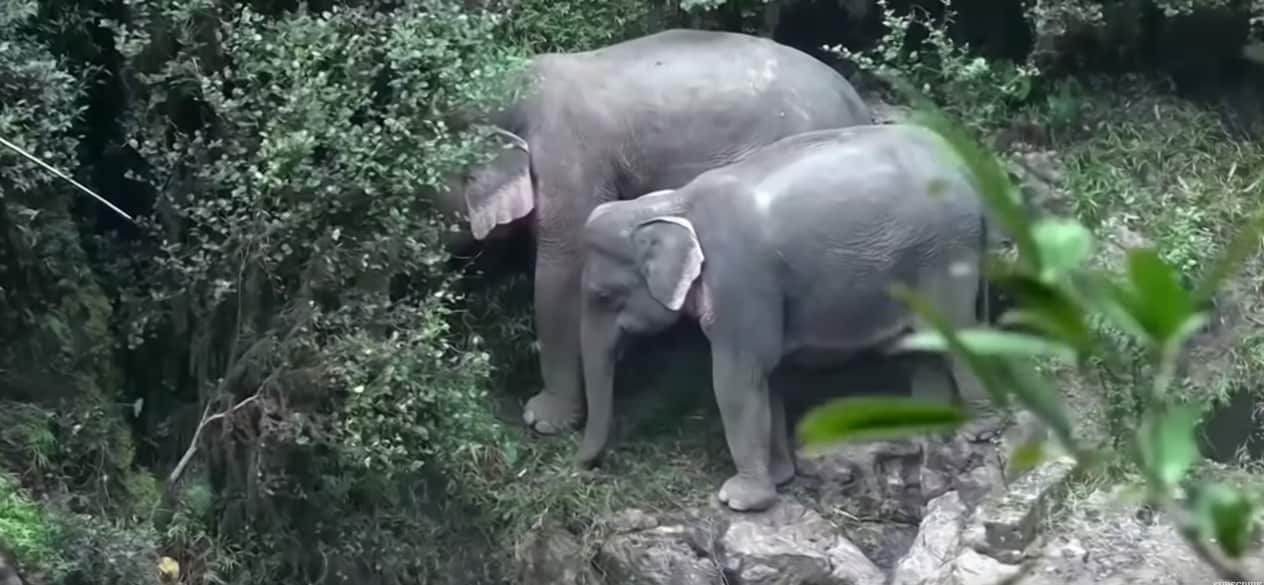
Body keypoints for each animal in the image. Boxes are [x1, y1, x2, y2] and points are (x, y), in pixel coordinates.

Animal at [573, 124, 999, 512]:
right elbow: (766, 377)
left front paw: (739, 499)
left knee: (959, 335)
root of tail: (969, 170)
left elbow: (736, 378)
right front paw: (779, 477)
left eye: (604, 296)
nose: (583, 468)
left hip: (944, 254)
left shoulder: (741, 282)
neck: (672, 204)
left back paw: (980, 429)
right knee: (924, 346)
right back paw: (925, 427)